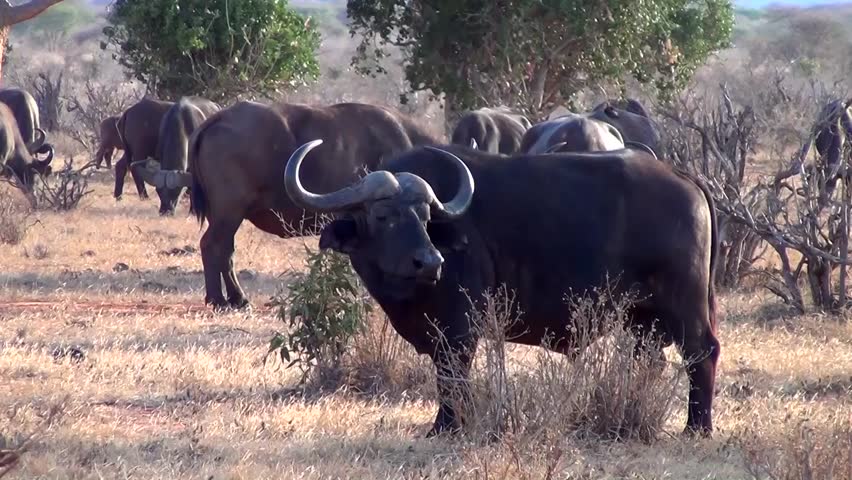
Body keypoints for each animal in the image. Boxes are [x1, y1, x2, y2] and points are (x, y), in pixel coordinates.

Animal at [172, 101, 438, 309]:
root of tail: (217, 118)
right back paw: (219, 299)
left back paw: (236, 298)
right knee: (212, 245)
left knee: (225, 250)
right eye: (384, 216)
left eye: (425, 216)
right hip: (229, 212)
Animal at [284, 141, 720, 437]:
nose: (431, 262)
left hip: (684, 305)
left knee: (703, 353)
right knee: (649, 361)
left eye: (425, 216)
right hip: (641, 317)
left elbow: (452, 374)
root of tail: (685, 178)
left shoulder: (459, 327)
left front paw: (447, 427)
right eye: (382, 215)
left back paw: (697, 427)